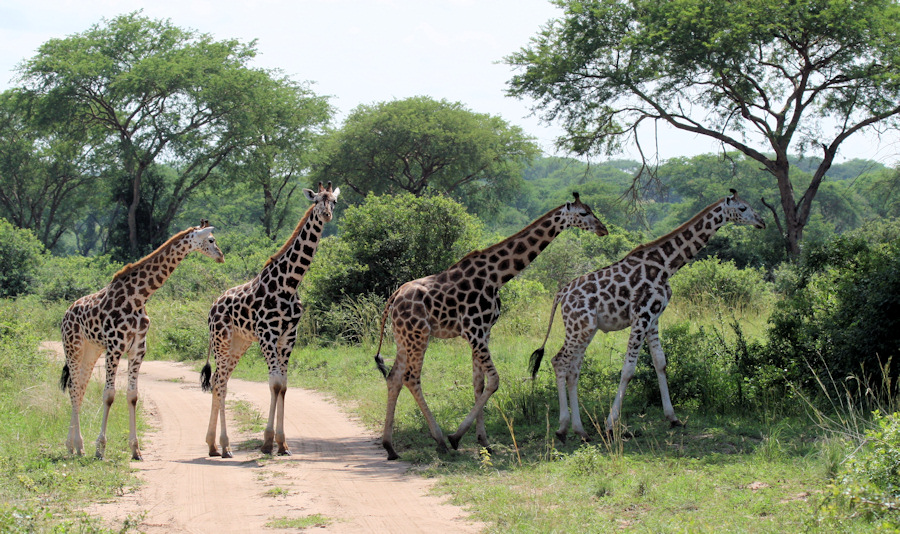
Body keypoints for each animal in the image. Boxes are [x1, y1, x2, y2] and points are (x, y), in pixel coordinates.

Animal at [60, 222, 225, 460]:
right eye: (211, 240)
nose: (221, 256)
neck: (139, 297)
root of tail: (66, 313)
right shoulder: (114, 346)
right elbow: (109, 395)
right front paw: (100, 449)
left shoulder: (137, 348)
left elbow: (132, 395)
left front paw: (135, 450)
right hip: (73, 347)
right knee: (74, 388)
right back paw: (73, 445)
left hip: (91, 350)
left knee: (80, 387)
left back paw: (78, 447)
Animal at [202, 182, 340, 458]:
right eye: (317, 200)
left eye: (334, 201)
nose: (326, 214)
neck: (290, 284)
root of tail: (212, 307)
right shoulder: (267, 334)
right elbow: (274, 384)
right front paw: (267, 443)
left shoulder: (288, 336)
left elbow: (283, 385)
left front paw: (283, 444)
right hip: (221, 340)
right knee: (219, 383)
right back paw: (225, 445)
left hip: (239, 344)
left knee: (219, 380)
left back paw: (213, 445)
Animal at [370, 193, 608, 460]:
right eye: (584, 213)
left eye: (591, 210)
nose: (603, 229)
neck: (496, 277)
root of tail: (393, 298)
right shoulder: (474, 330)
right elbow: (494, 381)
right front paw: (456, 437)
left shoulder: (484, 331)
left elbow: (479, 383)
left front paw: (483, 441)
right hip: (419, 335)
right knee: (411, 378)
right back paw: (439, 440)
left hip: (404, 337)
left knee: (394, 377)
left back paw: (390, 447)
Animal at [532, 191, 764, 442]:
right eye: (742, 208)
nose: (762, 221)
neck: (667, 265)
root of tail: (561, 294)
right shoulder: (642, 315)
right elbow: (628, 370)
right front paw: (611, 424)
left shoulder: (654, 318)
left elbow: (660, 363)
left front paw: (673, 418)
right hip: (579, 327)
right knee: (559, 361)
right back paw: (562, 428)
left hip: (585, 329)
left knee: (573, 370)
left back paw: (580, 430)